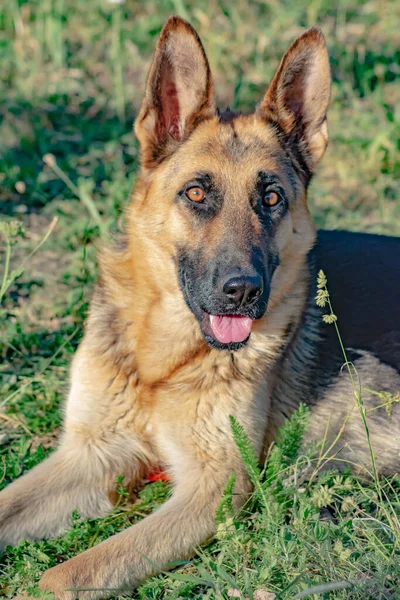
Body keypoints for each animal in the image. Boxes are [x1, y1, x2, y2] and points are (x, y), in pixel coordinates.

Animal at [0, 16, 400, 596]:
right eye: (195, 193)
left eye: (272, 198)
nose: (243, 291)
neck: (161, 365)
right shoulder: (92, 455)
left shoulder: (212, 489)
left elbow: (65, 575)